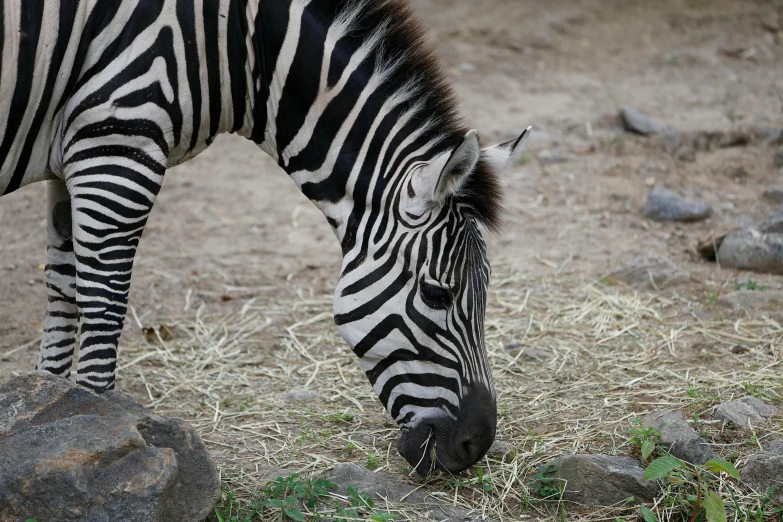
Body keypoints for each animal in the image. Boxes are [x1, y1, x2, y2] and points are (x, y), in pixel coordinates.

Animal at [1, 0, 532, 472]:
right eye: (437, 294)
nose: (476, 445)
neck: (233, 45)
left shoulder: (74, 157)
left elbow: (63, 291)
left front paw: (47, 416)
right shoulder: (117, 145)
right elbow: (103, 304)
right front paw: (100, 430)